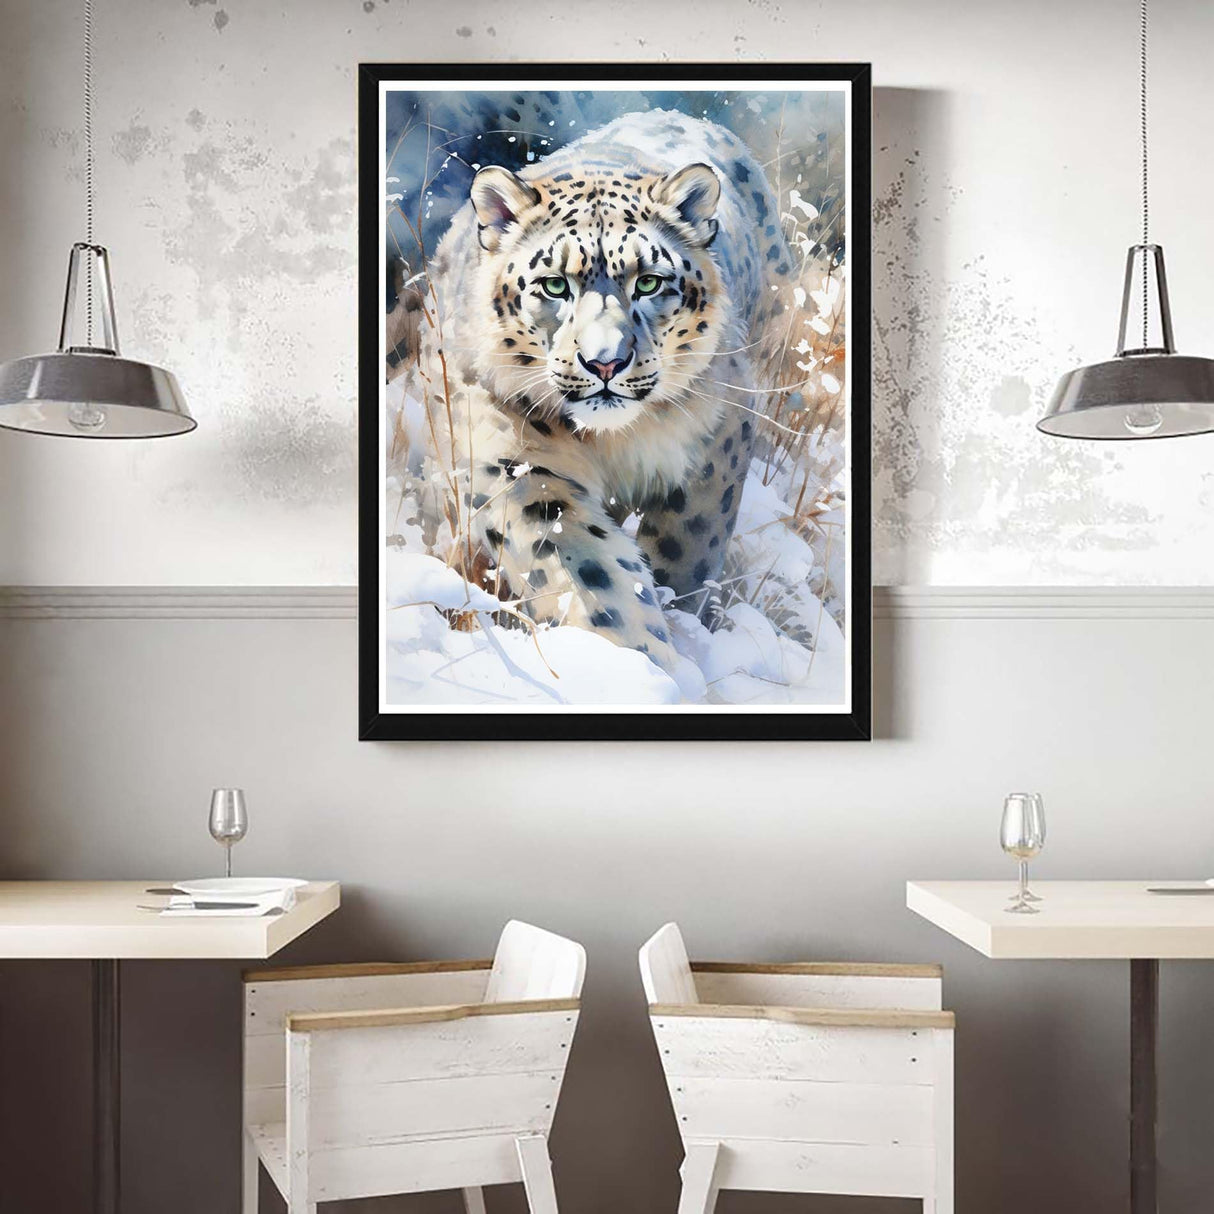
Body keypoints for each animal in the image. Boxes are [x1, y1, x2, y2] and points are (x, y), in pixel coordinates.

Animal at [394, 109, 796, 677]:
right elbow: (586, 566)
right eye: (554, 284)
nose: (605, 361)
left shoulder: (720, 438)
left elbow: (688, 545)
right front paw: (637, 663)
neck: (613, 444)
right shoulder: (512, 459)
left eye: (649, 282)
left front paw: (674, 626)